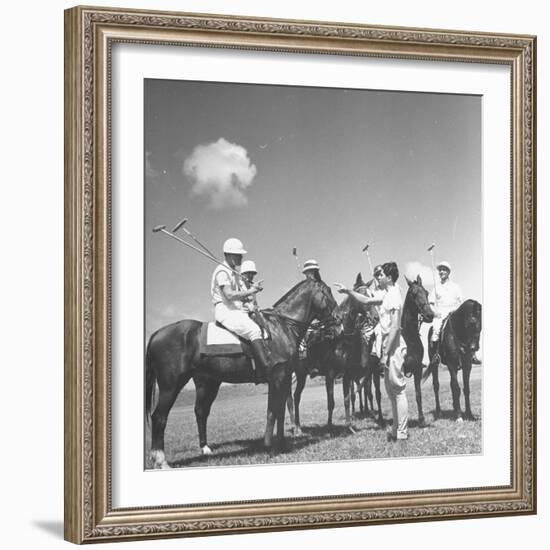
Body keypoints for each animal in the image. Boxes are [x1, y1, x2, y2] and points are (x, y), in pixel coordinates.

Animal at [144, 278, 338, 468]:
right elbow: (274, 411)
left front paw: (278, 444)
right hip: (171, 385)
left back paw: (204, 449)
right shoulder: (278, 377)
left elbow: (278, 411)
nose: (338, 323)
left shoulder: (281, 380)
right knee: (159, 416)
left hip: (208, 383)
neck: (281, 327)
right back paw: (161, 460)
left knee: (200, 411)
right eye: (327, 292)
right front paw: (272, 446)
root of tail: (156, 333)